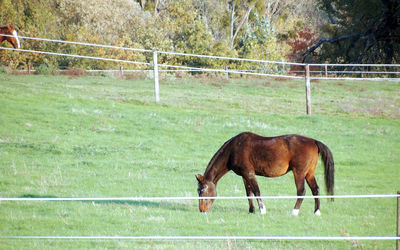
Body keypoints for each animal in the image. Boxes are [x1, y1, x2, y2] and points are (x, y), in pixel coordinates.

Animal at [197, 132, 334, 216]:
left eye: (202, 191)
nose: (201, 210)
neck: (234, 148)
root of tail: (313, 141)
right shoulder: (244, 176)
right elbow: (249, 193)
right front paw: (251, 210)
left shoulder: (249, 173)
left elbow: (256, 191)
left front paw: (262, 210)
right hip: (309, 174)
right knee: (315, 190)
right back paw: (317, 212)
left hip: (299, 173)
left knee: (301, 191)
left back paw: (294, 212)